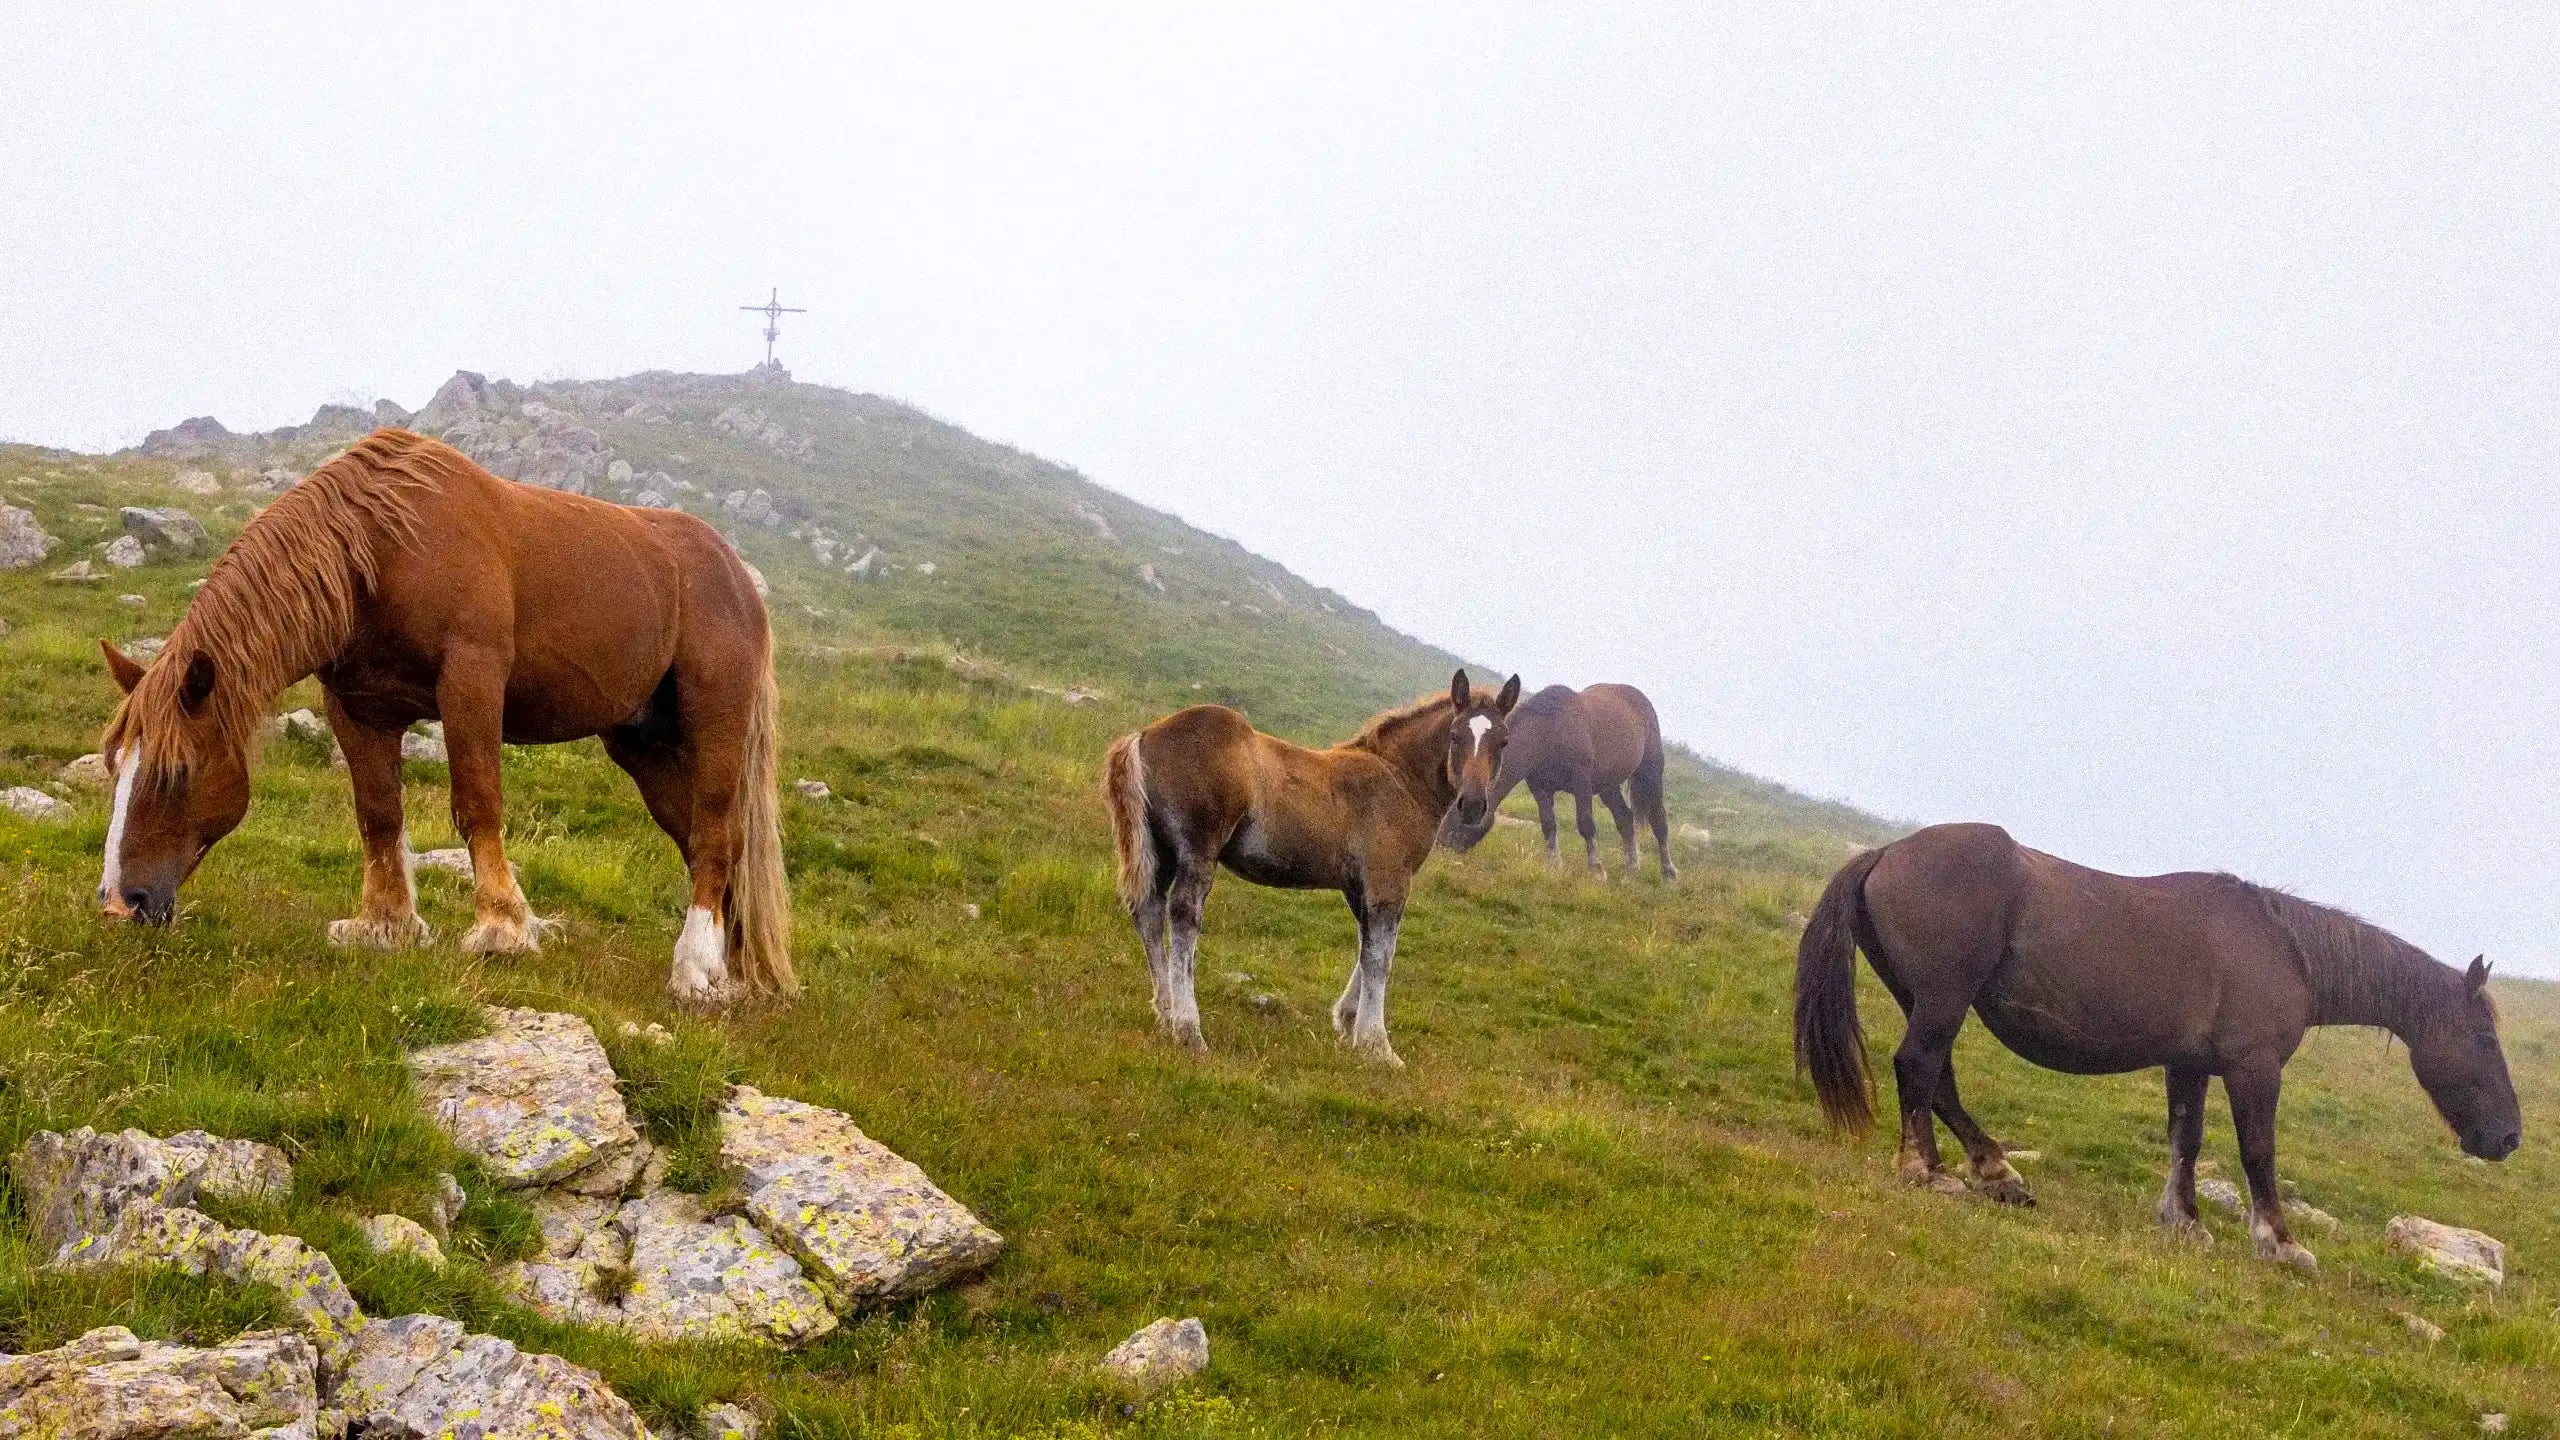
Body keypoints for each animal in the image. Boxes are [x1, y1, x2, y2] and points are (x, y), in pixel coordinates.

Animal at [94, 428, 794, 1004]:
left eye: (176, 773)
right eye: (115, 771)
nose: (121, 905)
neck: (378, 550)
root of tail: (737, 574)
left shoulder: (471, 681)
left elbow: (478, 802)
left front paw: (502, 927)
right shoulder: (358, 709)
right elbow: (378, 813)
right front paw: (386, 923)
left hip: (715, 720)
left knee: (714, 836)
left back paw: (695, 969)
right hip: (645, 745)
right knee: (710, 842)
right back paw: (734, 972)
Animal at [1103, 670, 1521, 1068]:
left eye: (1503, 741)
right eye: (1454, 735)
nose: (1473, 805)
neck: (1400, 779)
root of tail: (1144, 735)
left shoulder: (1358, 886)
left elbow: (1366, 946)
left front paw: (1348, 1021)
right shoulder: (1389, 880)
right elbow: (1381, 957)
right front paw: (1378, 1046)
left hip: (1160, 852)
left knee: (1148, 913)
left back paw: (1165, 1014)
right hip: (1197, 851)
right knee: (1183, 917)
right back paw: (1189, 1030)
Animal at [1437, 682, 1675, 881]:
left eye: (1460, 815)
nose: (1440, 846)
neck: (1548, 733)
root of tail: (1640, 699)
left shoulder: (1582, 783)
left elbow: (1586, 824)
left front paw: (1596, 870)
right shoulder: (1540, 788)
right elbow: (1548, 825)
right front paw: (1554, 866)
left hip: (1650, 773)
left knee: (1659, 821)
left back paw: (1668, 873)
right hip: (1608, 786)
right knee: (1625, 819)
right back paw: (1632, 866)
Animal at [1794, 822, 2518, 1272]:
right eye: (2483, 1037)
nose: (2508, 1137)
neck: (2286, 950)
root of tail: (1887, 852)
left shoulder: (2189, 1063)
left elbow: (2185, 1140)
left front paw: (2185, 1219)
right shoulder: (2253, 1069)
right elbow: (2258, 1152)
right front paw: (2281, 1243)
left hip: (1926, 1000)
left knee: (1938, 1078)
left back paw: (1996, 1172)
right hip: (1943, 999)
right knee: (1918, 1068)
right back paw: (1927, 1170)